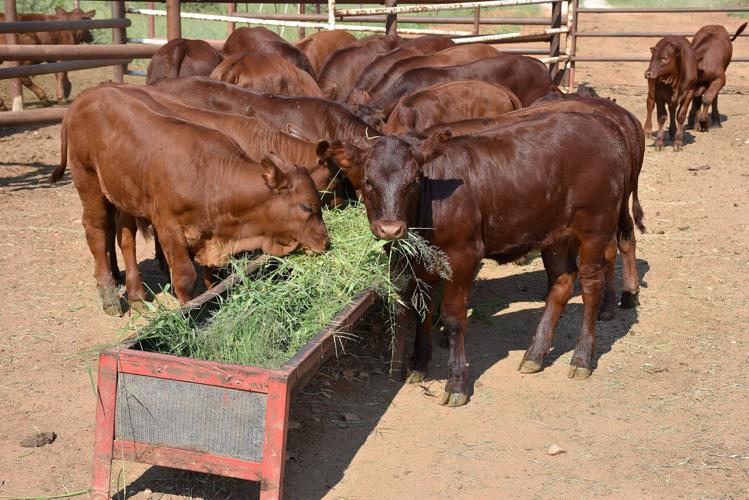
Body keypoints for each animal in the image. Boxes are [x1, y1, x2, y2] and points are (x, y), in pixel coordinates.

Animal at [52, 85, 329, 315]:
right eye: (307, 206)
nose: (325, 241)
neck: (210, 176)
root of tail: (84, 98)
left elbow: (212, 277)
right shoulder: (168, 226)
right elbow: (185, 278)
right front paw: (187, 314)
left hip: (124, 195)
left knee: (126, 237)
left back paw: (137, 296)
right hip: (88, 181)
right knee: (97, 231)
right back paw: (110, 297)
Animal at [317, 112, 631, 406]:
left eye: (414, 181)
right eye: (368, 181)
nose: (391, 229)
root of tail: (603, 124)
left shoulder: (463, 256)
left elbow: (453, 317)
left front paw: (456, 383)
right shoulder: (417, 264)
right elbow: (422, 312)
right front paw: (418, 365)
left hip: (595, 228)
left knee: (591, 286)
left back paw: (581, 358)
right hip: (555, 235)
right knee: (561, 284)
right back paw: (535, 355)